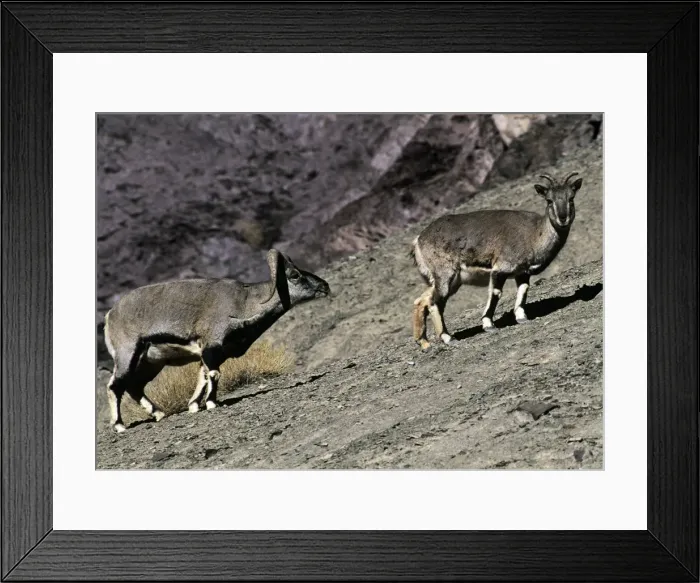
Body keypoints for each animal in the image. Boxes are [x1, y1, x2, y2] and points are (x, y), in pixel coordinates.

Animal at [103, 248, 330, 433]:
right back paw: (120, 426)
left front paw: (194, 406)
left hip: (151, 363)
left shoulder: (213, 353)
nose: (325, 287)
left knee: (135, 386)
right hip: (128, 355)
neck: (243, 304)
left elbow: (203, 376)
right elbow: (213, 374)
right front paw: (212, 404)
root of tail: (110, 316)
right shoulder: (212, 346)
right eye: (295, 275)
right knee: (115, 386)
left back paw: (159, 414)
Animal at [411, 172, 583, 349]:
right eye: (549, 200)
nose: (563, 218)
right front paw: (489, 325)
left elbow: (523, 290)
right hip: (445, 274)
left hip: (451, 280)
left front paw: (522, 317)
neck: (534, 234)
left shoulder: (522, 272)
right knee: (434, 302)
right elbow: (495, 293)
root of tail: (418, 241)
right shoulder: (500, 269)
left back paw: (424, 342)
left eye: (571, 198)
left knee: (422, 300)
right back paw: (447, 337)